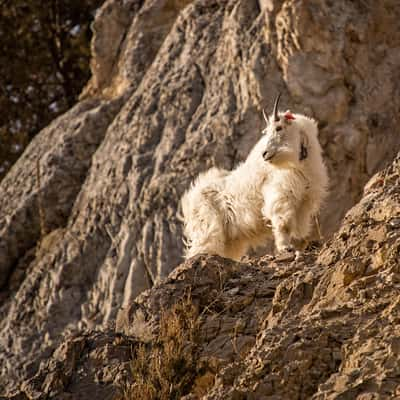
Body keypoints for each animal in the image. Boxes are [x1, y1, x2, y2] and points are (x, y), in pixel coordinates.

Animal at [180, 95, 328, 260]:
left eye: (279, 128)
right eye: (267, 131)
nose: (265, 154)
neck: (300, 163)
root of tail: (190, 199)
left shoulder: (304, 201)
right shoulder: (282, 195)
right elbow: (283, 223)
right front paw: (286, 247)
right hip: (207, 226)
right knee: (202, 247)